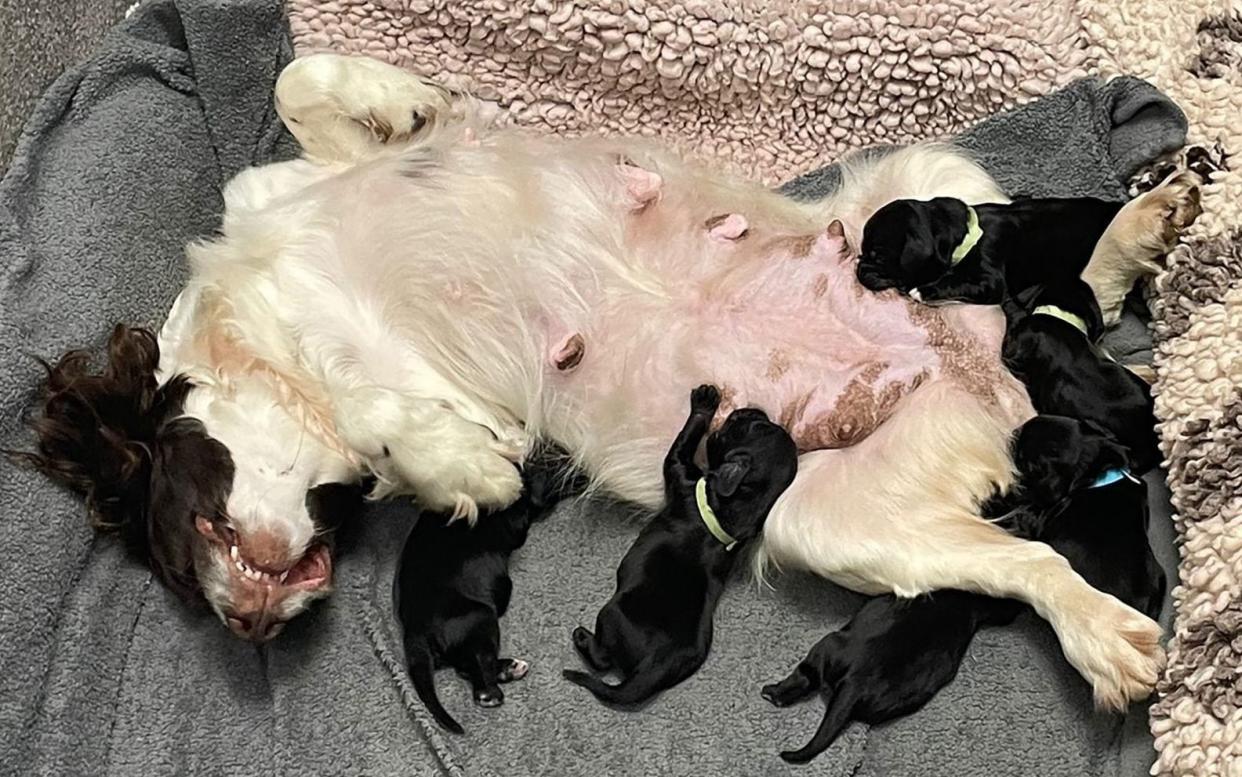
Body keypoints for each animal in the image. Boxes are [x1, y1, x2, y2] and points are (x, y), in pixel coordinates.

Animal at [397, 446, 581, 729]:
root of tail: (415, 628)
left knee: (466, 667)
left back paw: (508, 669)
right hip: (481, 619)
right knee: (479, 674)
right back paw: (495, 689)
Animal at [568, 384, 799, 705]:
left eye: (754, 427)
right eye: (763, 424)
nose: (752, 410)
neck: (735, 511)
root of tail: (656, 664)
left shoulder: (678, 467)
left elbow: (685, 438)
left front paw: (705, 400)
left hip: (611, 613)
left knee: (602, 659)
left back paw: (581, 637)